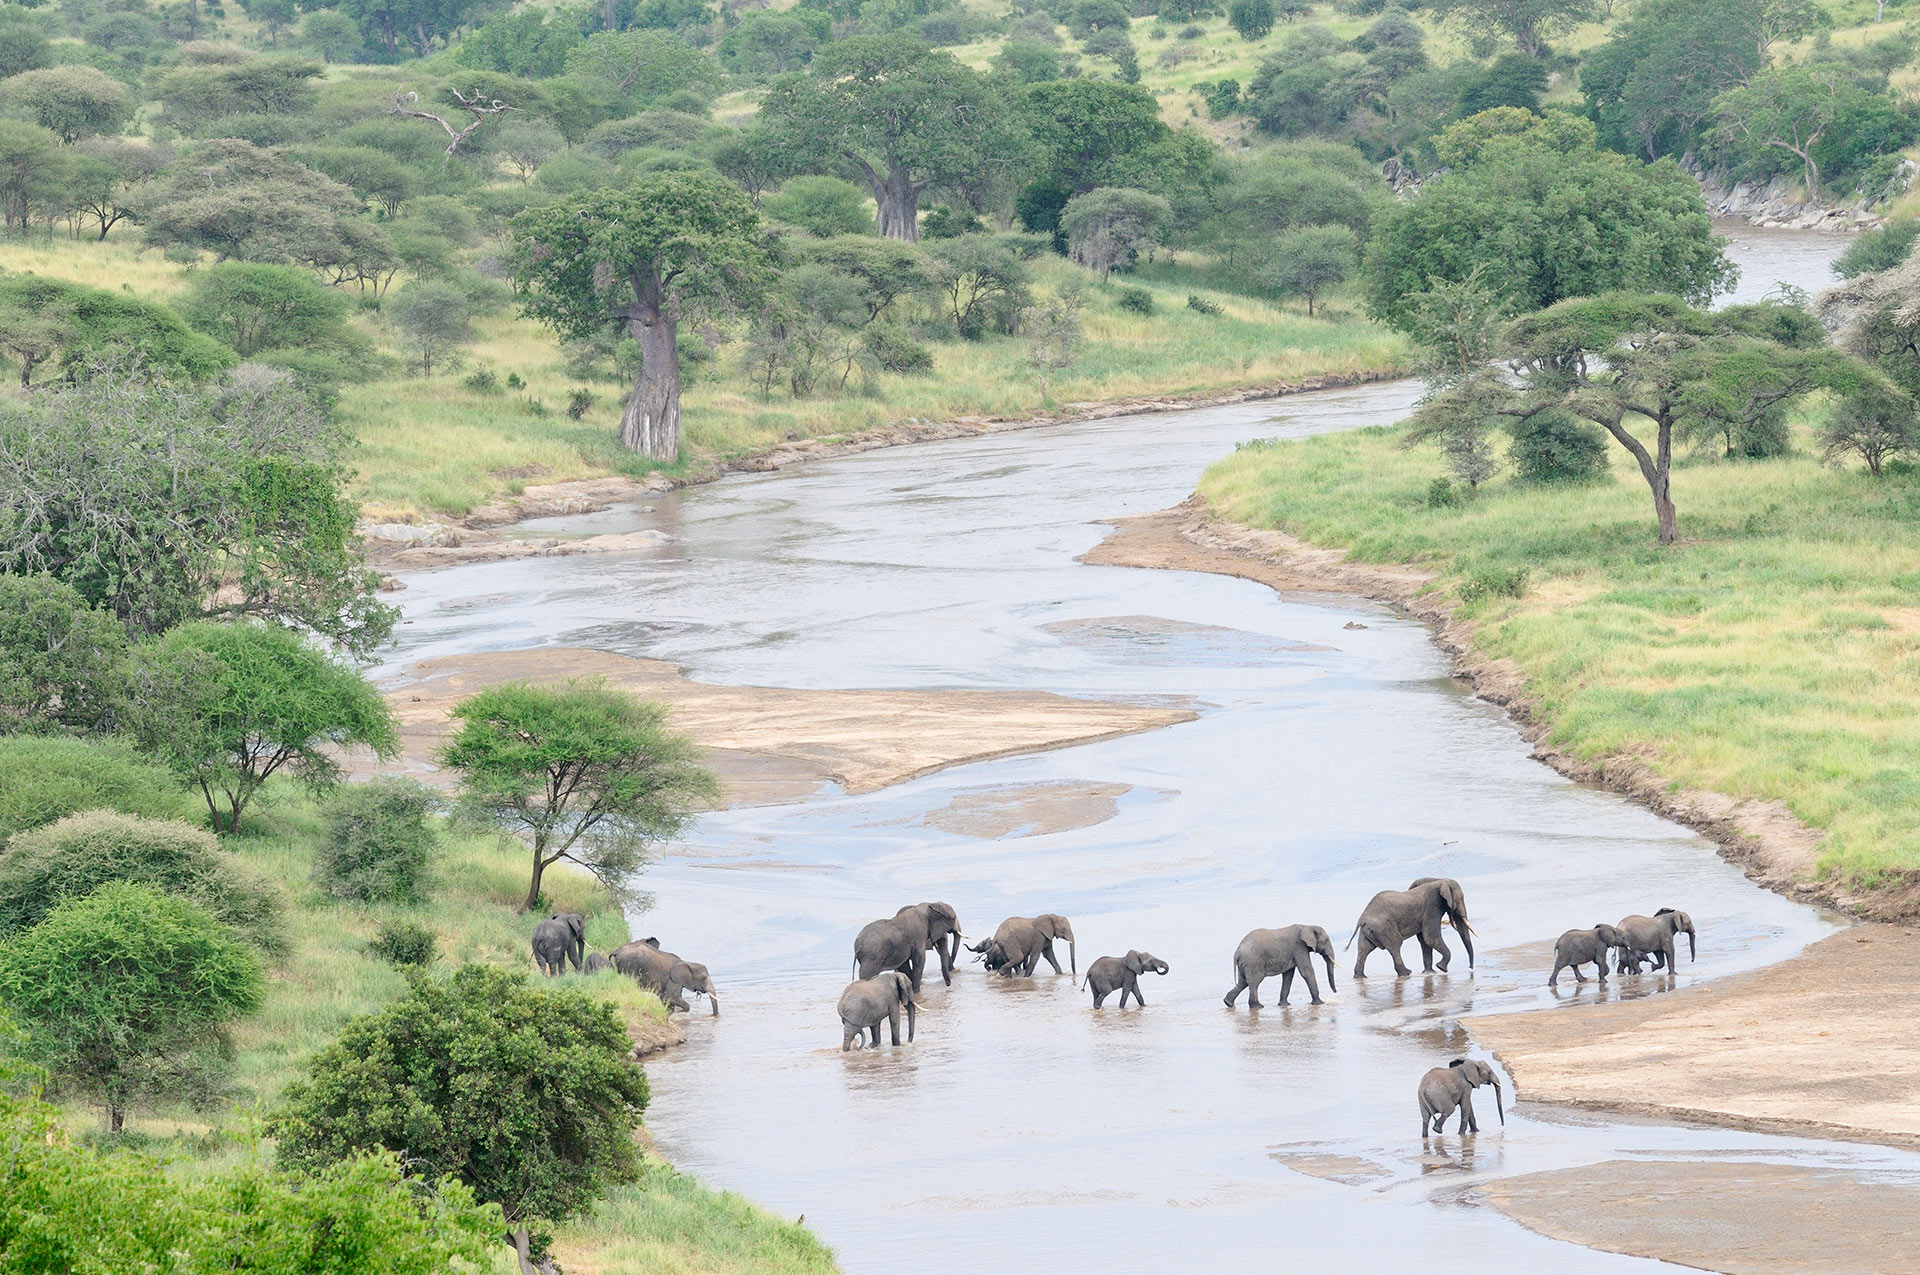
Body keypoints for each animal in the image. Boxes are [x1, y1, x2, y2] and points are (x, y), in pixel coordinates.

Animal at [1344, 875, 1474, 975]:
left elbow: (1424, 940)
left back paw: (1360, 976)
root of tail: (1362, 919)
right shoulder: (1432, 909)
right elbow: (1430, 938)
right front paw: (1441, 968)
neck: (1439, 880)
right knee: (1395, 945)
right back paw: (1406, 973)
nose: (1470, 968)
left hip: (1367, 931)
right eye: (1460, 899)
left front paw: (1429, 973)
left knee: (1364, 950)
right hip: (1384, 927)